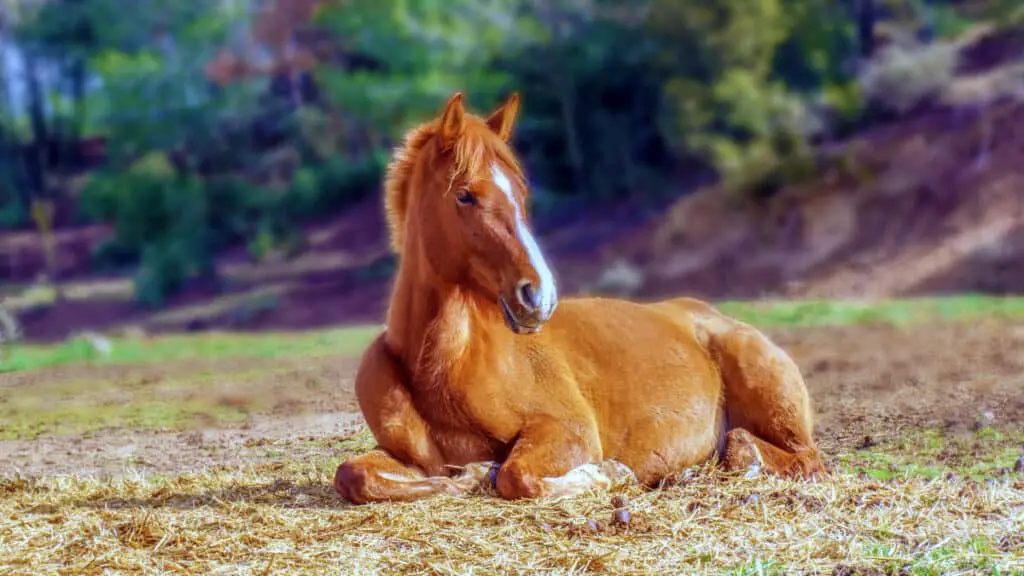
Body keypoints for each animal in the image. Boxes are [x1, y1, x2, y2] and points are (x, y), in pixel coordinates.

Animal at [333, 90, 823, 502]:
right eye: (465, 195)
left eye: (521, 191)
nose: (539, 295)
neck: (445, 365)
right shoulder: (409, 458)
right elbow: (354, 475)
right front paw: (469, 475)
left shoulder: (567, 431)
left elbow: (517, 477)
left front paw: (610, 474)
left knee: (796, 458)